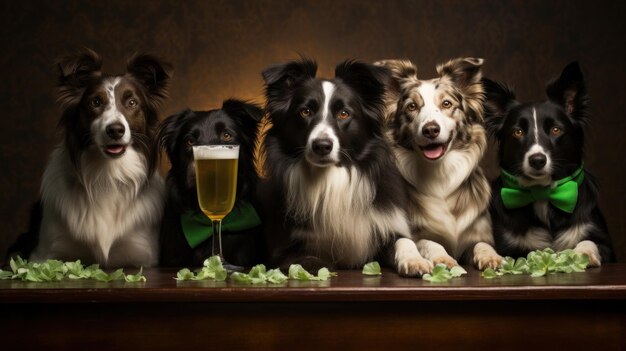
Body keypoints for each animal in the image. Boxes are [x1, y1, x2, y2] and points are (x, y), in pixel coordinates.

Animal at [23, 48, 171, 268]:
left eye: (132, 102)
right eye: (96, 102)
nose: (115, 130)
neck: (108, 175)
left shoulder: (143, 256)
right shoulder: (43, 255)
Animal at [258, 59, 428, 276]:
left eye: (344, 113)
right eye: (305, 111)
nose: (322, 145)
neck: (329, 178)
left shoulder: (385, 226)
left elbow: (404, 241)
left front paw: (416, 260)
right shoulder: (284, 249)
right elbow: (307, 261)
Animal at [372, 59, 500, 270]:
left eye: (447, 103)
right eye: (412, 107)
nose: (431, 129)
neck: (440, 173)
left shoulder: (475, 235)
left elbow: (482, 244)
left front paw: (491, 257)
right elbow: (427, 242)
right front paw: (441, 258)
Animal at [480, 62, 612, 266]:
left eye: (556, 129)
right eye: (518, 132)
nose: (537, 160)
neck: (542, 192)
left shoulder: (605, 245)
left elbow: (589, 241)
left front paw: (583, 253)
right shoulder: (508, 245)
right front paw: (488, 257)